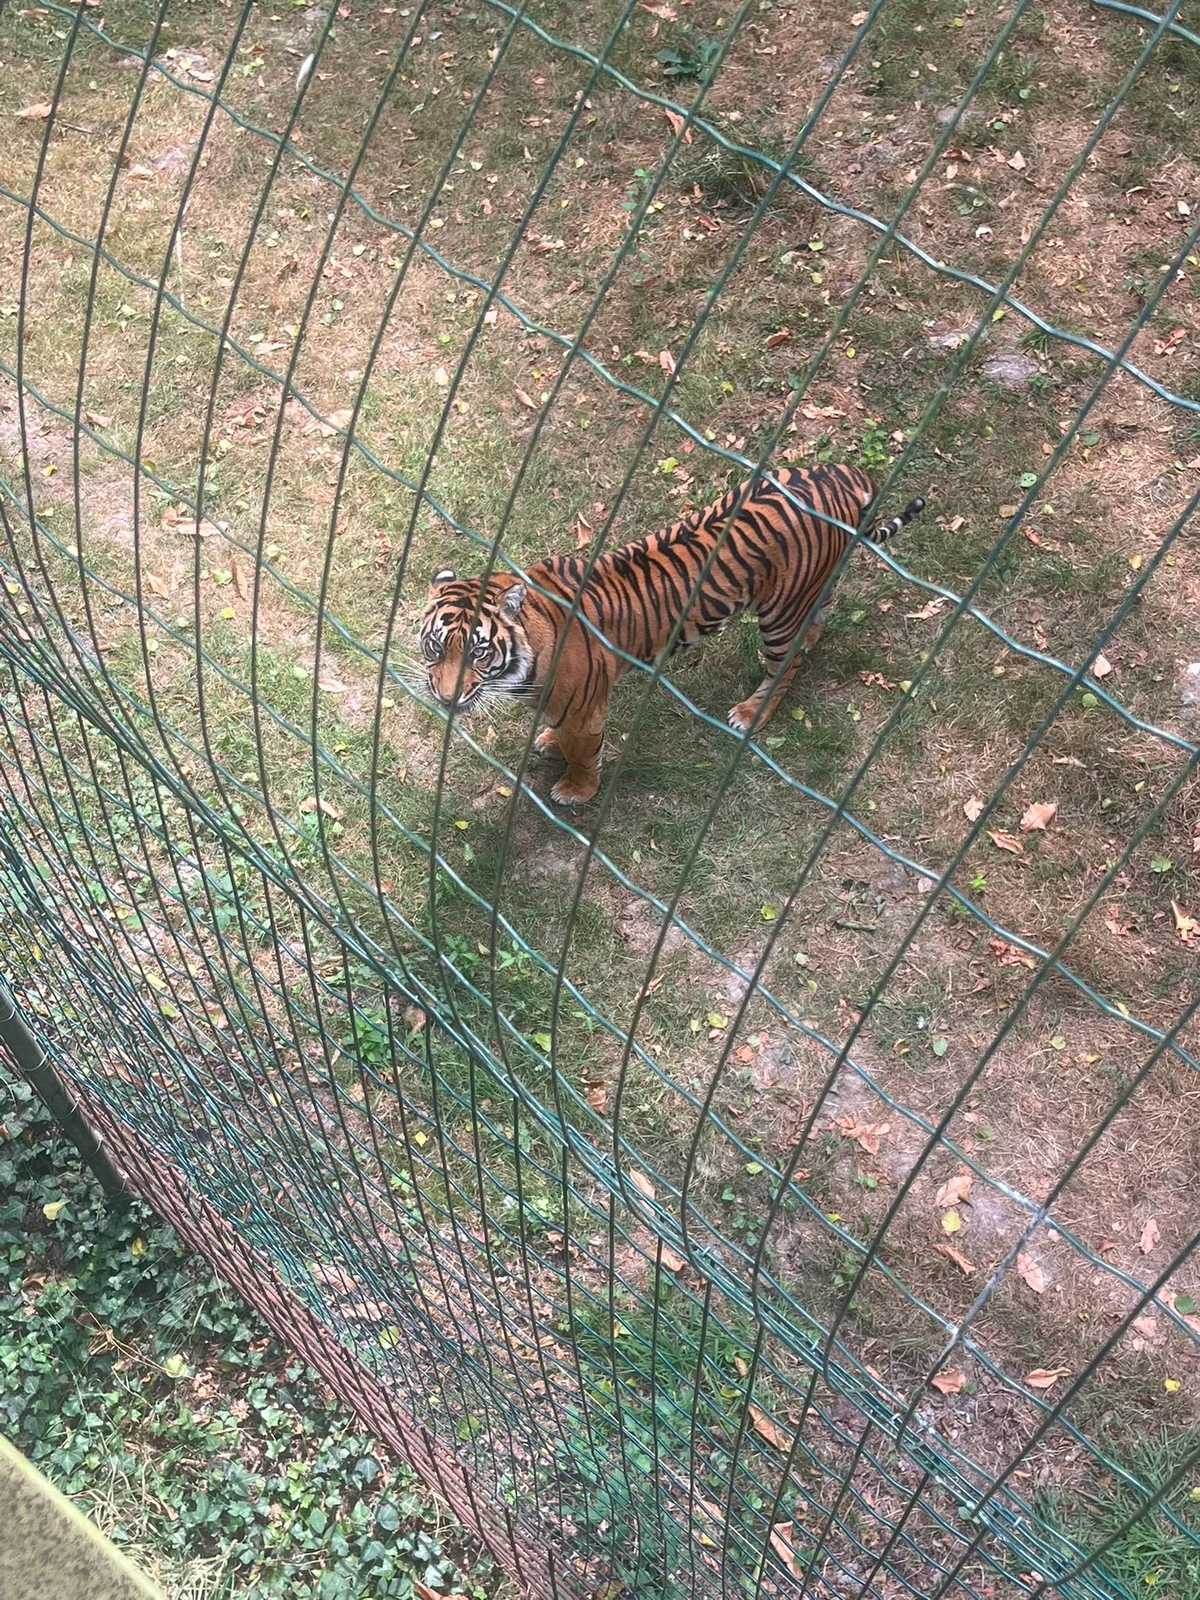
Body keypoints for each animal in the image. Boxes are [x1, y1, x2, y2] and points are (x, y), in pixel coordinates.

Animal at [419, 463, 925, 804]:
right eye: (435, 648)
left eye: (479, 653)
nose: (445, 699)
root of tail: (844, 473)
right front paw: (548, 742)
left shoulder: (585, 709)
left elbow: (584, 751)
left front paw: (576, 790)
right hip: (811, 585)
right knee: (818, 621)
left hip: (778, 613)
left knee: (789, 662)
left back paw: (751, 713)